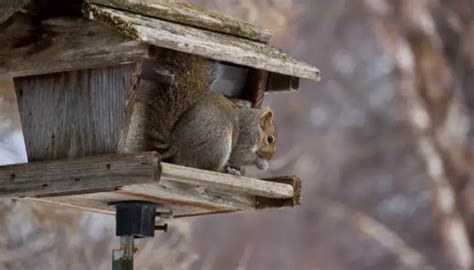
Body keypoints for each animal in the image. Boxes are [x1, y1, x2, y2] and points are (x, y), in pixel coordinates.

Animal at [131, 48, 276, 175]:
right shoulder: (245, 138)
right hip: (219, 142)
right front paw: (261, 163)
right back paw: (227, 170)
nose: (270, 157)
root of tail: (177, 149)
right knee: (209, 168)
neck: (255, 127)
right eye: (270, 139)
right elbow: (240, 156)